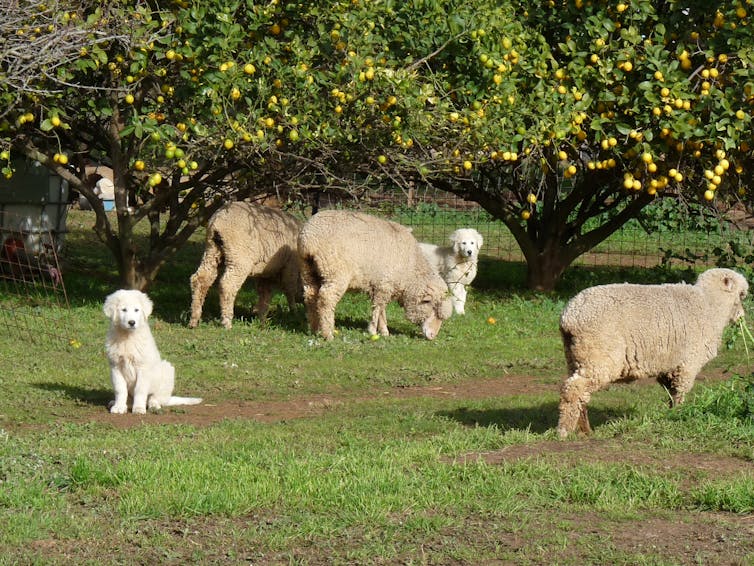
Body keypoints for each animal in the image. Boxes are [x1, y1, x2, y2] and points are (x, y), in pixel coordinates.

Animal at [296, 210, 450, 340]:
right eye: (434, 310)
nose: (432, 336)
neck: (411, 272)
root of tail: (310, 239)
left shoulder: (381, 286)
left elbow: (381, 309)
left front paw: (384, 331)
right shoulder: (385, 284)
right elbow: (378, 307)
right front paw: (373, 331)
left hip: (307, 270)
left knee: (310, 296)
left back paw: (315, 328)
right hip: (335, 273)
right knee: (326, 299)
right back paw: (328, 334)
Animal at [556, 270, 748, 440]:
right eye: (742, 294)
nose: (741, 317)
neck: (710, 306)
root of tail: (570, 317)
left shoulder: (669, 365)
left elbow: (671, 392)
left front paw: (669, 414)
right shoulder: (688, 363)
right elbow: (680, 392)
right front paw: (678, 415)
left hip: (575, 358)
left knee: (580, 394)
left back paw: (584, 430)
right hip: (599, 357)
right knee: (574, 389)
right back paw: (564, 431)